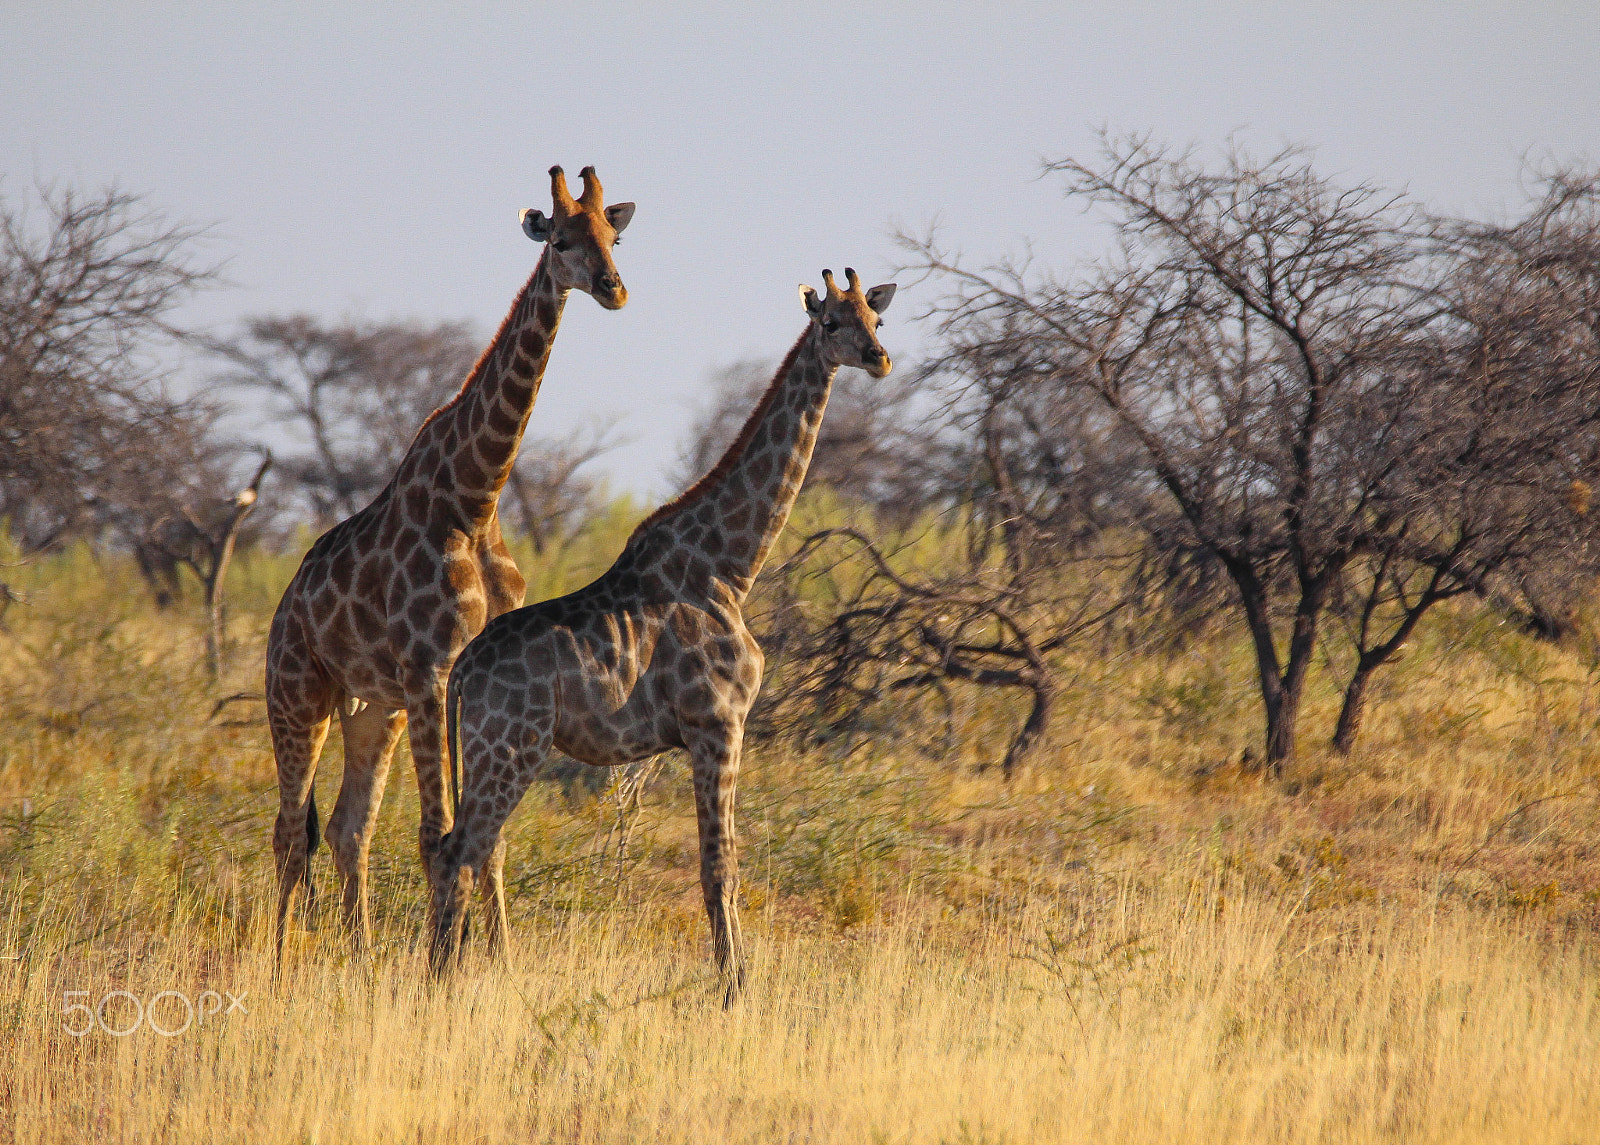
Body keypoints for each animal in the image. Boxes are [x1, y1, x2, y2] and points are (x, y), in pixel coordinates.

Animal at [267, 166, 635, 966]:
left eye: (613, 236)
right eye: (561, 240)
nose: (614, 288)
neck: (475, 494)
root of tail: (284, 608)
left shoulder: (471, 675)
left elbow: (484, 839)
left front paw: (496, 962)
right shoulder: (433, 671)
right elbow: (438, 835)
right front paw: (450, 959)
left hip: (374, 710)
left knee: (345, 828)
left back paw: (362, 959)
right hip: (298, 695)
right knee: (288, 832)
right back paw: (276, 965)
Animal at [428, 267, 896, 1001]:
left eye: (876, 319)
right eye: (831, 323)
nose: (878, 359)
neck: (731, 567)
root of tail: (463, 673)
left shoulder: (709, 728)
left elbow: (720, 867)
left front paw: (734, 982)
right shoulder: (717, 722)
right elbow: (720, 867)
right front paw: (736, 990)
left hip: (491, 753)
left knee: (477, 849)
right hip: (511, 748)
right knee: (459, 852)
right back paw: (439, 986)